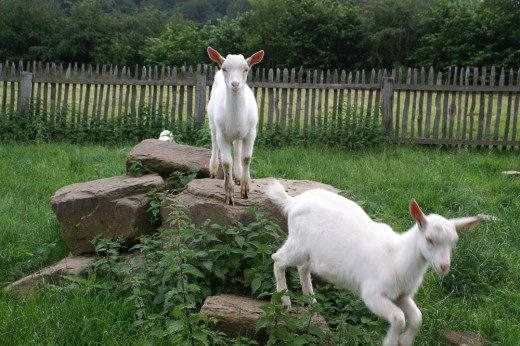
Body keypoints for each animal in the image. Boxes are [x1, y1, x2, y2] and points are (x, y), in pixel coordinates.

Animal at [206, 47, 264, 207]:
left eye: (246, 69)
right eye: (225, 68)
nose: (235, 84)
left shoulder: (251, 132)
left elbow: (246, 158)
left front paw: (245, 189)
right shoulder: (222, 133)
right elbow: (226, 163)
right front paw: (229, 195)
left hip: (239, 134)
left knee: (238, 149)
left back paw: (238, 175)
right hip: (213, 124)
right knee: (214, 143)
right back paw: (213, 170)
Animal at [266, 181, 486, 346]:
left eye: (454, 243)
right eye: (430, 239)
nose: (443, 267)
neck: (397, 258)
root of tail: (294, 201)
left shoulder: (401, 295)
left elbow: (417, 317)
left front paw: (405, 341)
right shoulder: (373, 294)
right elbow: (398, 318)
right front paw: (390, 342)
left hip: (310, 251)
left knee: (303, 267)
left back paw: (311, 301)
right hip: (298, 242)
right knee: (278, 259)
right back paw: (284, 301)